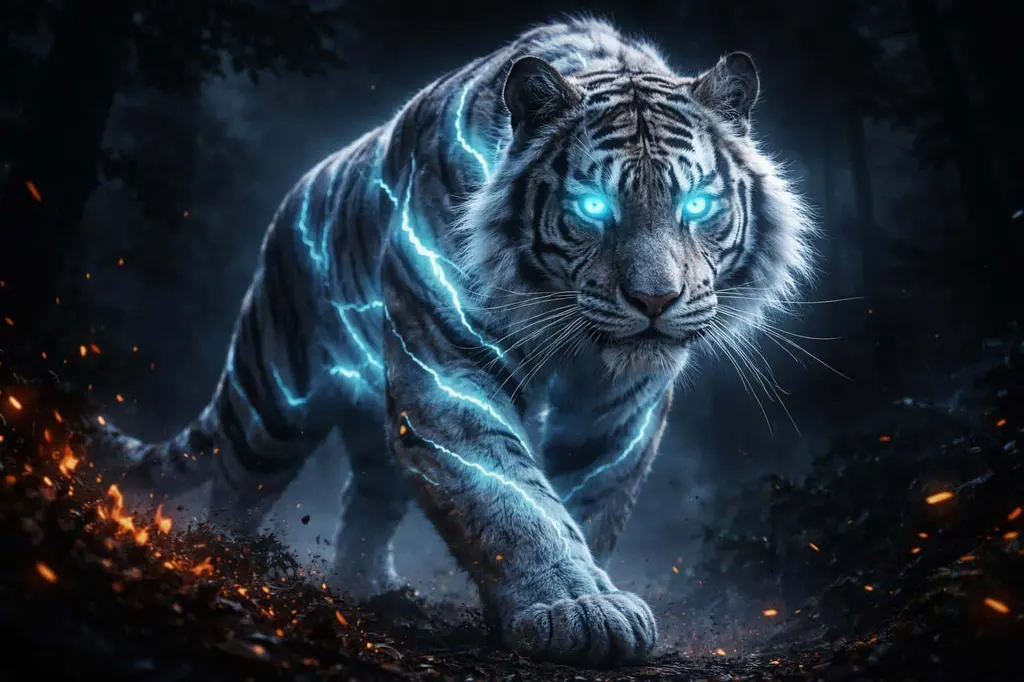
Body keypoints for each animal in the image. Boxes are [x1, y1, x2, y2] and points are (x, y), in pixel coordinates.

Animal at [87, 18, 815, 666]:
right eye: (592, 208)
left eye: (696, 206)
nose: (656, 301)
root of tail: (295, 197)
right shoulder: (448, 367)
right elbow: (513, 497)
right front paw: (575, 608)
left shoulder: (616, 412)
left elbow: (588, 502)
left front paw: (579, 597)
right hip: (274, 400)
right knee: (236, 486)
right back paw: (227, 565)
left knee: (365, 499)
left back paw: (373, 591)